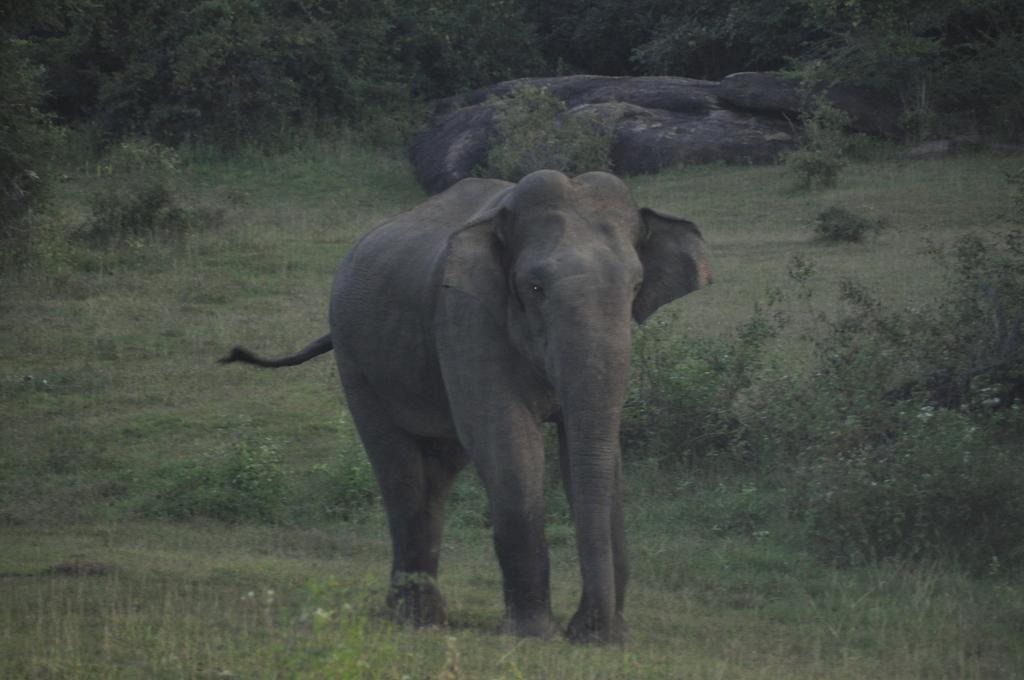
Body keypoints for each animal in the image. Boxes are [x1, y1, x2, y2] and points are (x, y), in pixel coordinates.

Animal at [218, 170, 712, 643]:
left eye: (636, 286)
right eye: (534, 287)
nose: (595, 632)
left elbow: (593, 453)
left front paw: (599, 637)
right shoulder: (465, 314)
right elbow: (506, 441)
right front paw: (533, 635)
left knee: (436, 474)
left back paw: (423, 616)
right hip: (355, 359)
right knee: (401, 474)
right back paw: (415, 620)